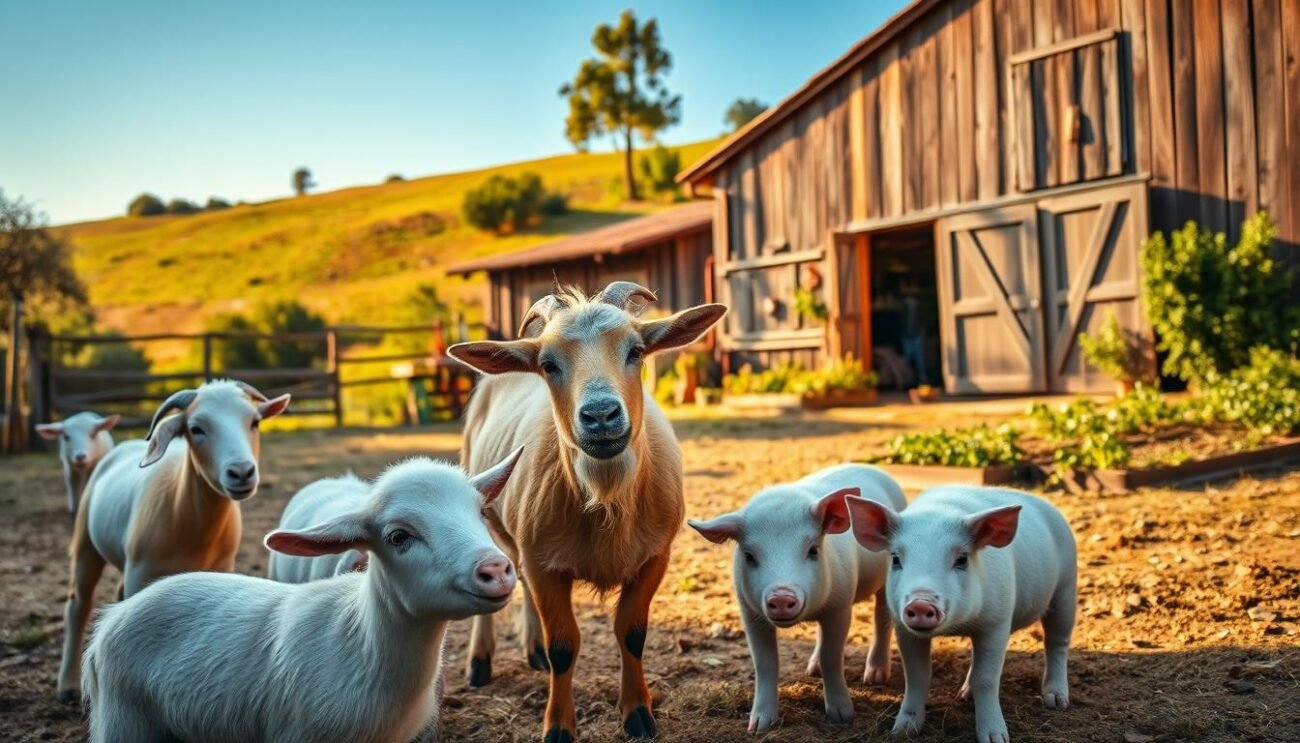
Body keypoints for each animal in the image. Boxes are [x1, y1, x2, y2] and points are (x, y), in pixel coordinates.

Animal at [55, 379, 290, 703]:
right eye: (196, 428)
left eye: (254, 422)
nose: (241, 472)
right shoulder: (140, 572)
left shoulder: (220, 568)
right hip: (86, 542)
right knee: (78, 603)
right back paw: (67, 686)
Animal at [82, 448, 524, 743]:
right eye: (398, 537)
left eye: (480, 513)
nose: (496, 570)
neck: (364, 645)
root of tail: (112, 619)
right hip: (126, 723)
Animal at [448, 281, 727, 742]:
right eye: (548, 365)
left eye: (636, 351)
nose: (600, 416)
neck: (606, 496)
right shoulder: (545, 564)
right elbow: (564, 647)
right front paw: (559, 727)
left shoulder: (655, 558)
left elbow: (631, 634)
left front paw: (638, 715)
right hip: (487, 506)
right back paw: (479, 664)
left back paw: (532, 651)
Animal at [688, 463, 907, 732]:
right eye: (749, 556)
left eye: (813, 550)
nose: (781, 597)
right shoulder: (750, 614)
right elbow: (765, 663)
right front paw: (758, 727)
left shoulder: (840, 608)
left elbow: (832, 658)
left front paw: (843, 718)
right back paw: (812, 670)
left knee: (881, 619)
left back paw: (874, 677)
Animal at [846, 485, 1077, 743]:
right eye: (896, 558)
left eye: (961, 559)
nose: (920, 602)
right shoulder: (904, 630)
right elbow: (916, 677)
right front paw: (902, 731)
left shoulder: (997, 622)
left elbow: (986, 679)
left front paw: (996, 738)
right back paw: (964, 694)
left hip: (1066, 588)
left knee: (1057, 642)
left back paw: (1056, 702)